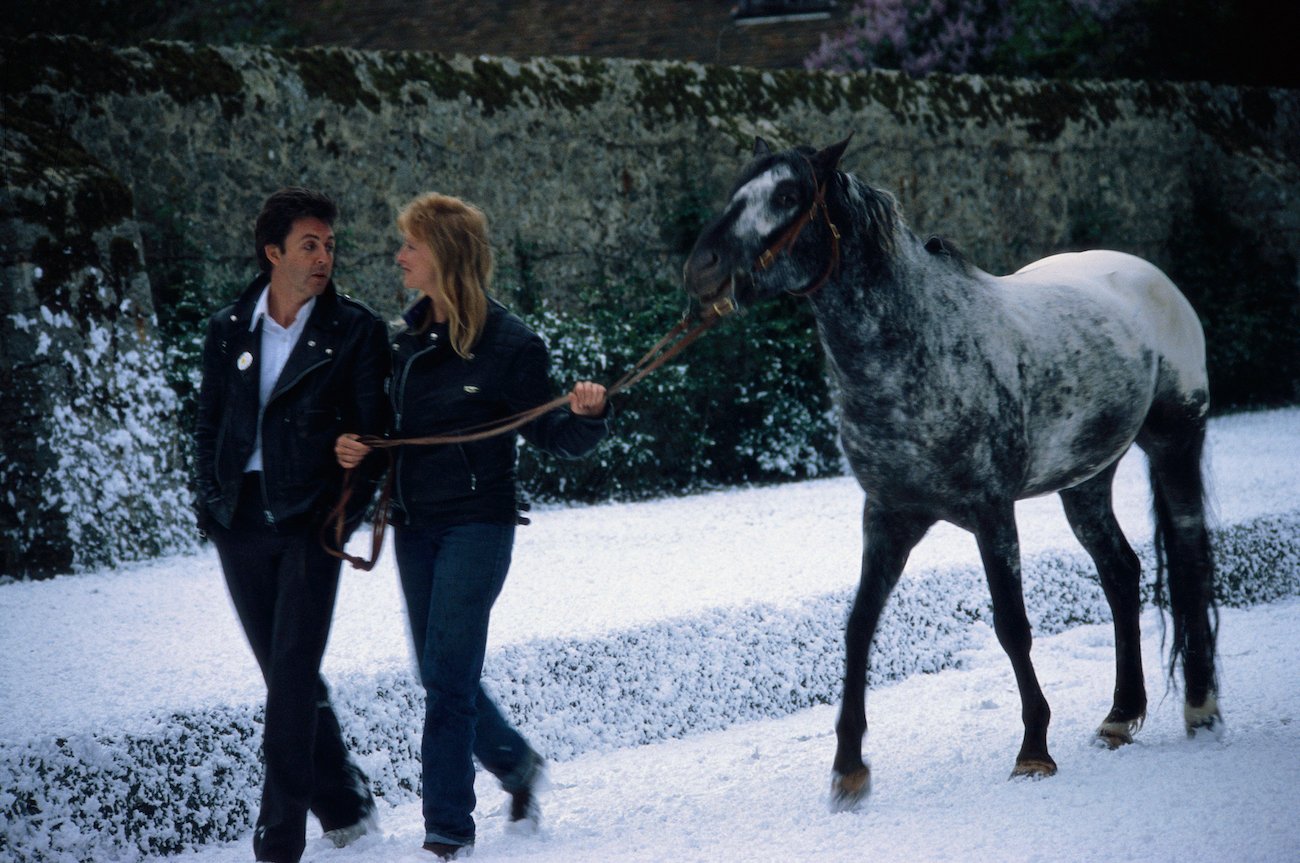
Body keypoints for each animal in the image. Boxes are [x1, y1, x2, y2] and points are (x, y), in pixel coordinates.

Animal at [686, 135, 1222, 811]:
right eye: (738, 189)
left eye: (788, 194)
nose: (700, 268)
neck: (921, 346)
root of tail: (1153, 280)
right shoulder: (889, 517)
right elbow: (858, 627)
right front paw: (849, 769)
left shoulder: (992, 512)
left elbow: (1012, 626)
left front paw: (1033, 752)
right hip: (1085, 478)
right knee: (1121, 573)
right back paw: (1120, 716)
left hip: (1175, 442)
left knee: (1190, 558)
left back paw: (1202, 707)